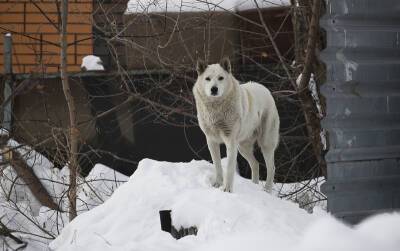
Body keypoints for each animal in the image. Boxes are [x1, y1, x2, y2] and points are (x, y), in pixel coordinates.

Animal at [192, 58, 280, 192]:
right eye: (207, 79)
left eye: (221, 78)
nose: (214, 89)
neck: (216, 109)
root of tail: (265, 89)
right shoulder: (211, 141)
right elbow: (217, 165)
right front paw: (217, 184)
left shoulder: (230, 142)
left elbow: (229, 168)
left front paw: (227, 190)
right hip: (243, 147)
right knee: (256, 164)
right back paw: (254, 185)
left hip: (266, 144)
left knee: (272, 168)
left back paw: (267, 190)